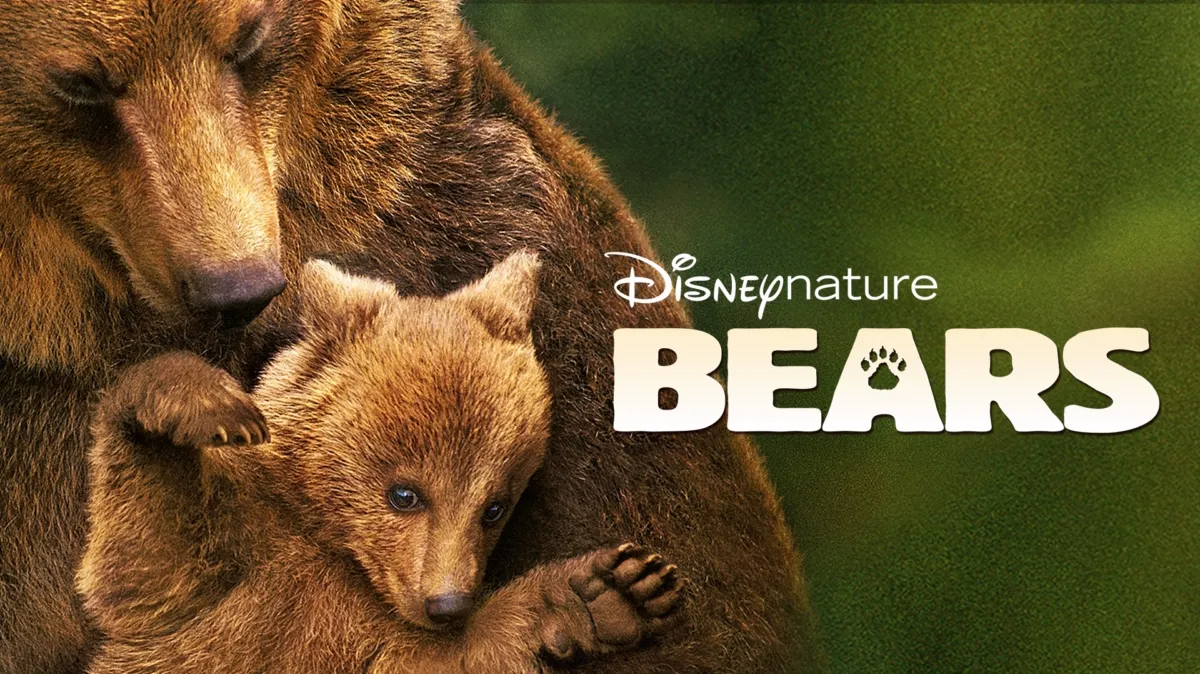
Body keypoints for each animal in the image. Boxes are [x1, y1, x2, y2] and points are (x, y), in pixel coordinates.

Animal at [78, 252, 686, 674]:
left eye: (494, 506)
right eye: (405, 493)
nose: (447, 603)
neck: (332, 546)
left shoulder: (368, 632)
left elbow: (444, 657)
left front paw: (612, 591)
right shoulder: (227, 567)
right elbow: (145, 557)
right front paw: (203, 404)